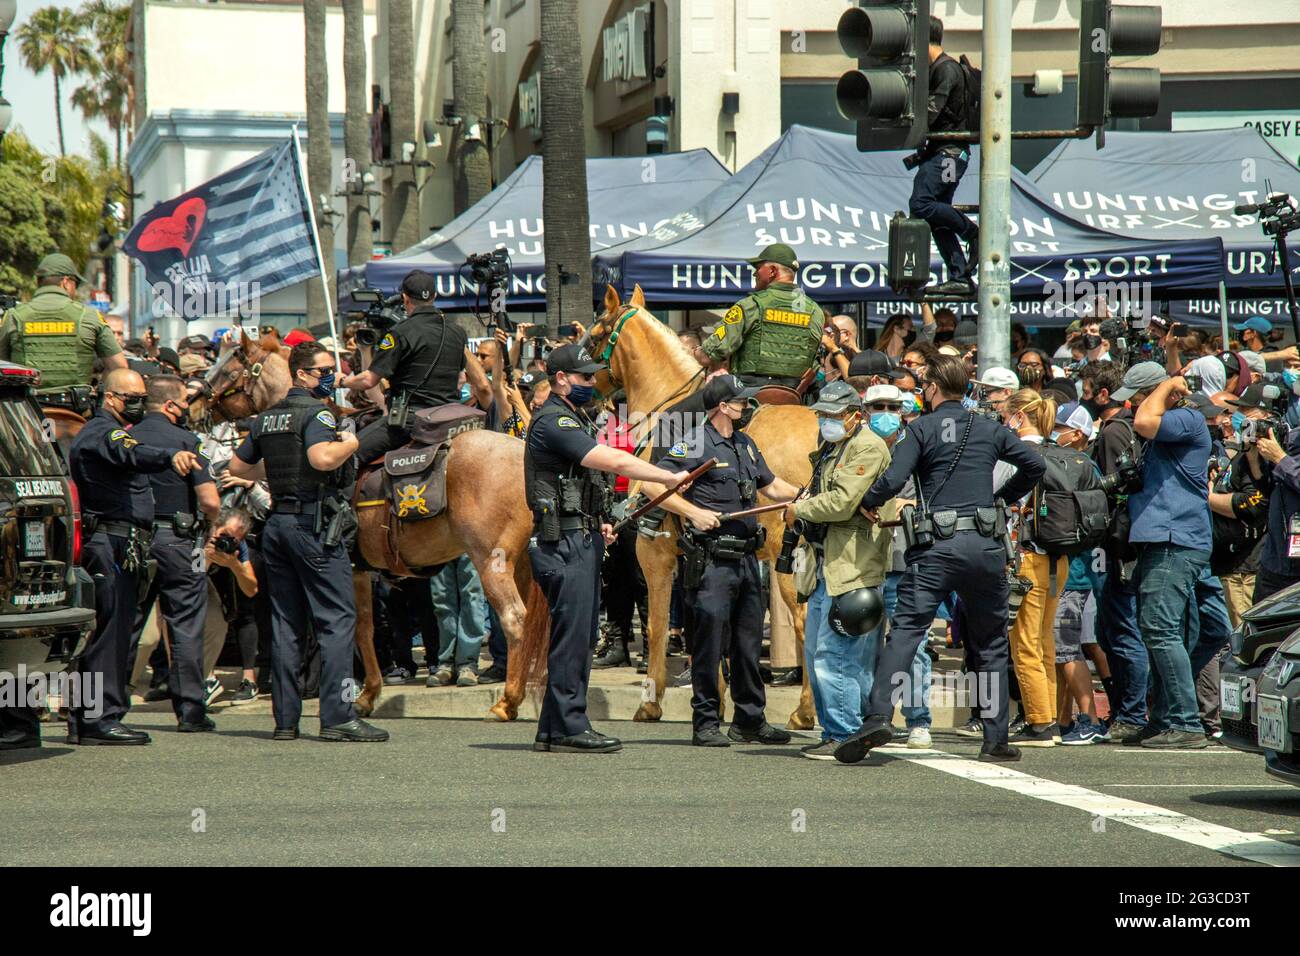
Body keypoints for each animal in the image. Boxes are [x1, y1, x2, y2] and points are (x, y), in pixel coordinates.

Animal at [206, 329, 543, 717]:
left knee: (515, 620)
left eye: (228, 368)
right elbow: (364, 627)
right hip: (523, 563)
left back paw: (508, 700)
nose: (198, 405)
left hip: (491, 561)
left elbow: (352, 628)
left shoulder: (346, 567)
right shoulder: (359, 568)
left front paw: (358, 694)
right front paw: (368, 694)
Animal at [590, 280, 811, 728]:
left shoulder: (654, 551)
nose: (587, 392)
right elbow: (712, 627)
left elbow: (659, 624)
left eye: (593, 336)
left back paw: (806, 712)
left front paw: (651, 699)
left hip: (790, 565)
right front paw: (720, 696)